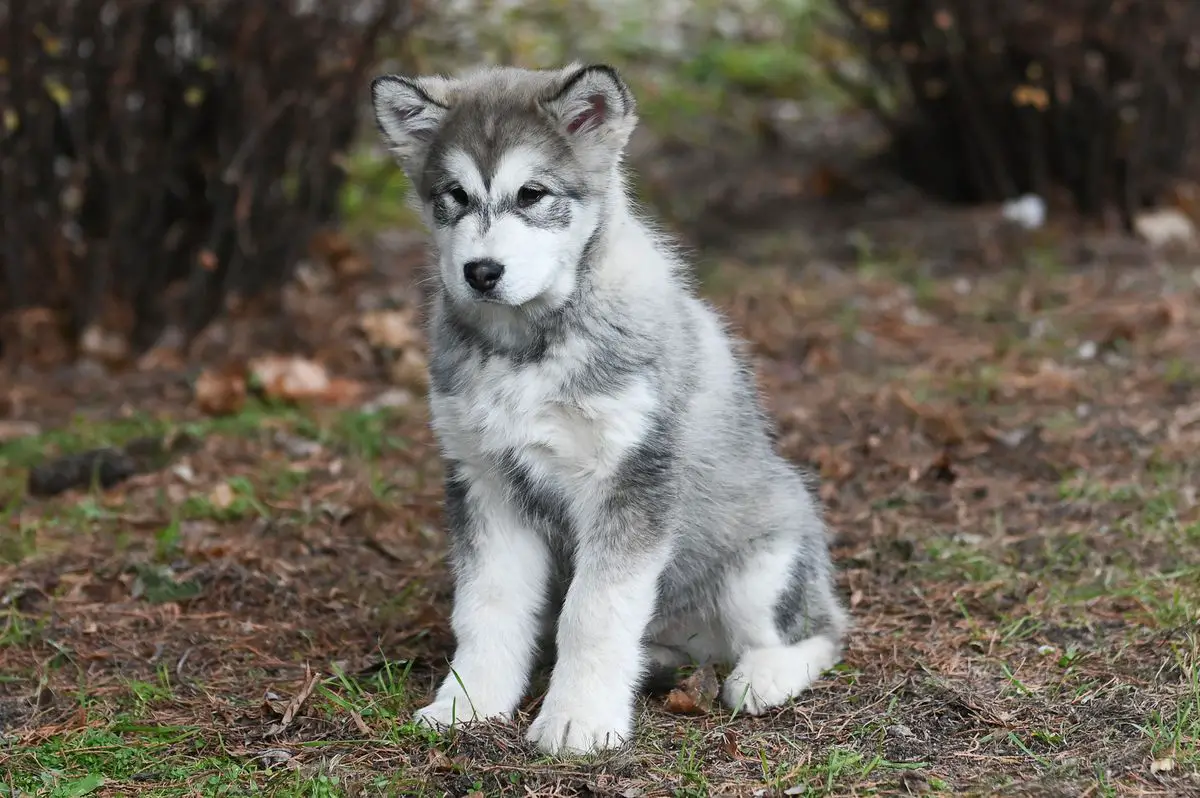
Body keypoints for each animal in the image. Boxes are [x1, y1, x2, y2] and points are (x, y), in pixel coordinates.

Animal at [369, 60, 849, 753]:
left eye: (532, 194)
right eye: (453, 195)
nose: (481, 271)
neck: (529, 348)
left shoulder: (629, 479)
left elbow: (594, 613)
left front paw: (579, 719)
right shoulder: (484, 482)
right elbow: (486, 608)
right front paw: (468, 703)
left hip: (763, 563)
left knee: (821, 631)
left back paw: (764, 676)